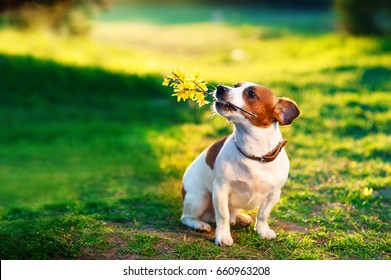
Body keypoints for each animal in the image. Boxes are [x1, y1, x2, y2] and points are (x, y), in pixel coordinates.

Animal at [181, 81, 300, 245]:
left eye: (251, 94)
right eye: (235, 85)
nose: (220, 88)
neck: (255, 155)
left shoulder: (274, 193)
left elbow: (263, 214)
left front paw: (262, 231)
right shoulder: (221, 190)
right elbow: (222, 216)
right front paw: (223, 236)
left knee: (232, 213)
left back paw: (240, 217)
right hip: (199, 198)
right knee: (187, 218)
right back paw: (200, 224)